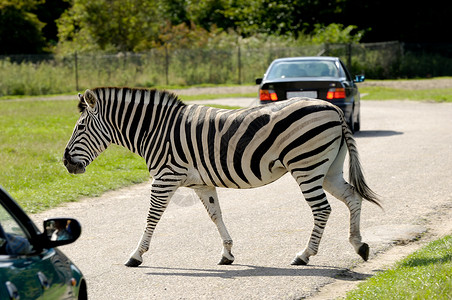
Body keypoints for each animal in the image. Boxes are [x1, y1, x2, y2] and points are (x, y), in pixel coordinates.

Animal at [63, 86, 380, 268]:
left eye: (80, 127)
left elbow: (152, 217)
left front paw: (136, 255)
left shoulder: (165, 178)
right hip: (328, 169)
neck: (155, 131)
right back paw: (359, 245)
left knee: (322, 209)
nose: (66, 163)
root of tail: (334, 108)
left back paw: (304, 255)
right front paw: (227, 254)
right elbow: (215, 215)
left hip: (306, 166)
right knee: (352, 197)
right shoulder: (201, 182)